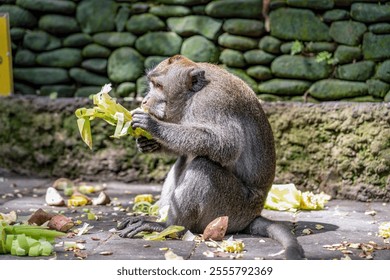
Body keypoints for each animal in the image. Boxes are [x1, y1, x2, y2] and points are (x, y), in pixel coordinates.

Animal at [116, 55, 304, 260]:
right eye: (152, 84)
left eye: (158, 85)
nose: (144, 101)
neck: (191, 97)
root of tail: (253, 214)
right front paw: (147, 143)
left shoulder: (211, 102)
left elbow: (227, 144)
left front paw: (152, 126)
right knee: (185, 160)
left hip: (231, 209)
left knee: (204, 166)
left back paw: (169, 226)